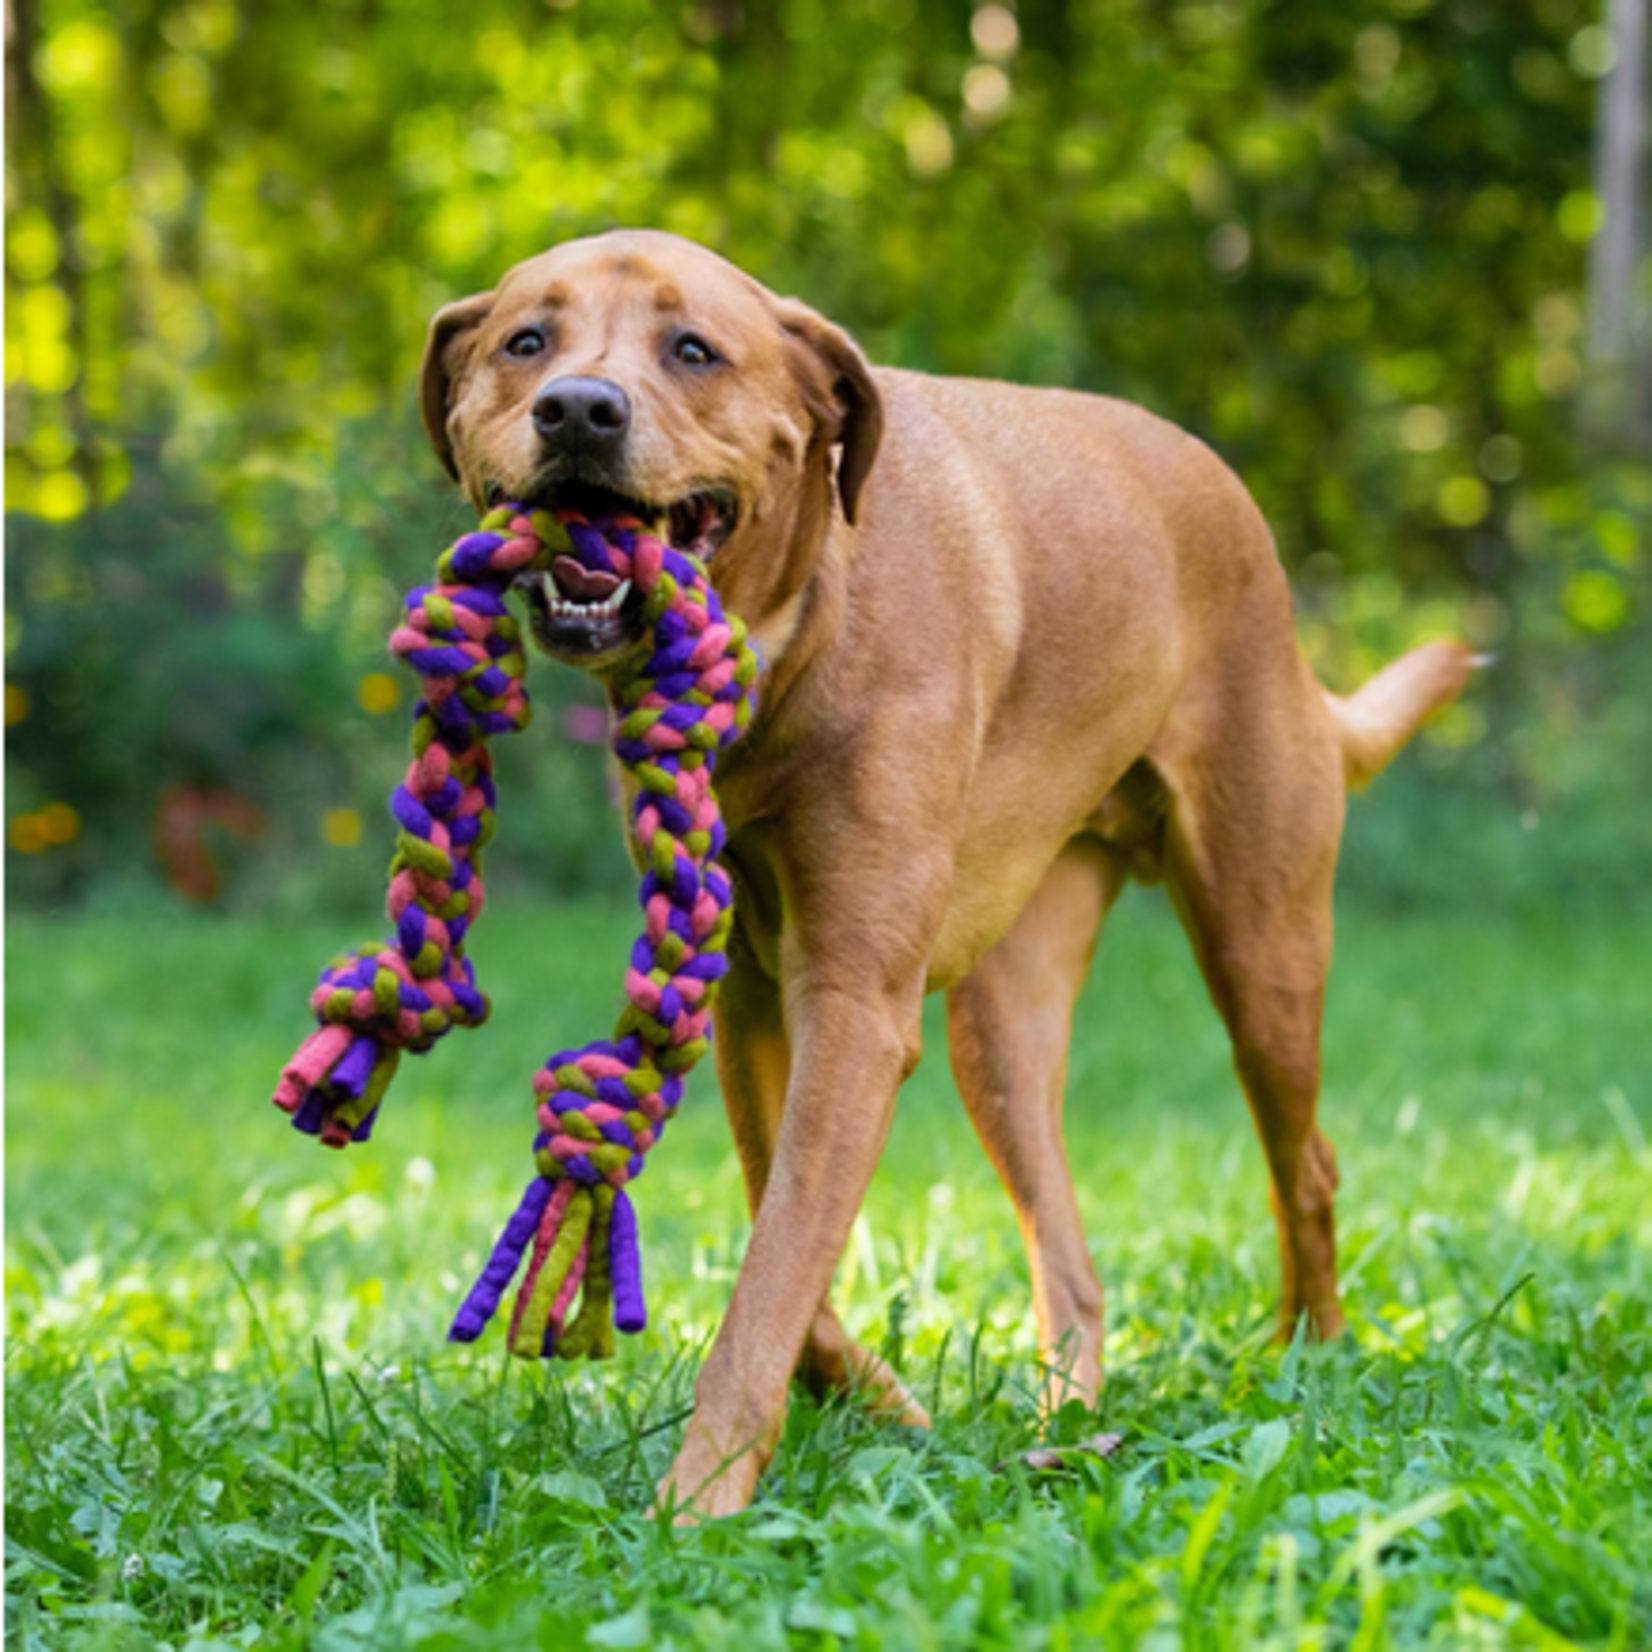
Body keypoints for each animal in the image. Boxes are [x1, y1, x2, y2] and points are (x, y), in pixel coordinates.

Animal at [416, 226, 1473, 1513]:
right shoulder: (755, 996)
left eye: (692, 349)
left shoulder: (852, 1005)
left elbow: (771, 1272)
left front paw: (695, 1501)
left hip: (1260, 946)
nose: (577, 407)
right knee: (1068, 1265)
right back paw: (1064, 1425)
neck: (790, 643)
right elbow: (783, 1234)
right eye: (525, 341)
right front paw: (874, 1403)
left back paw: (1306, 1357)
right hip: (998, 1026)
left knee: (1305, 1163)